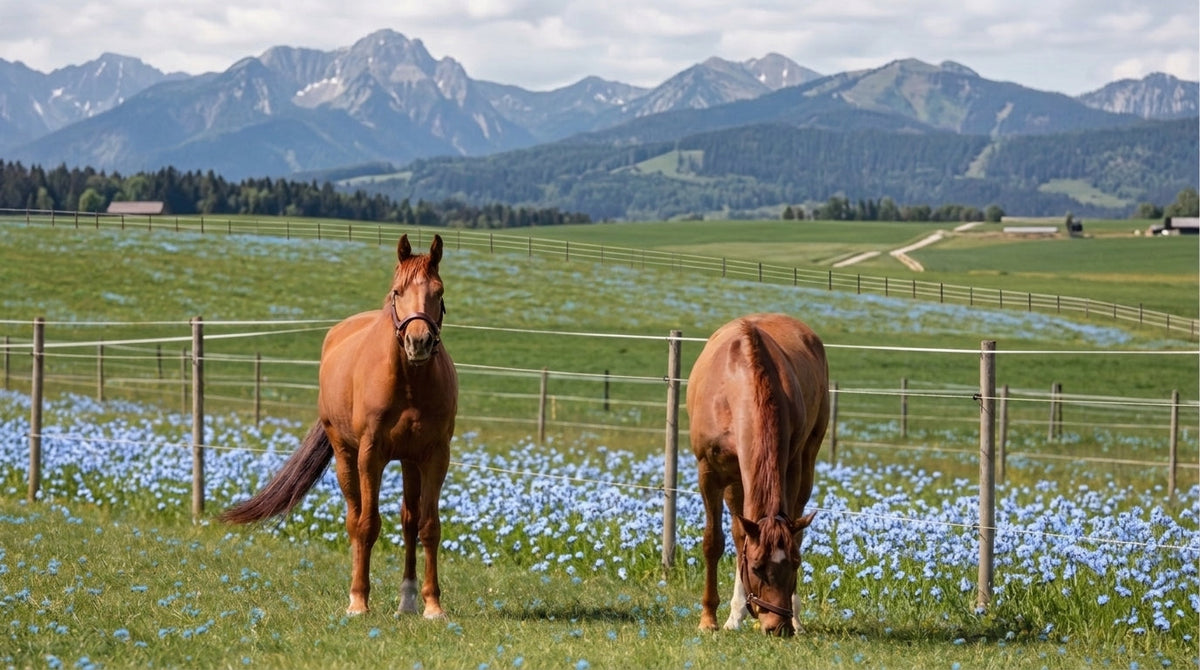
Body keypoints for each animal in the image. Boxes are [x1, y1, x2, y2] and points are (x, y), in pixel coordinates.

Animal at [221, 233, 458, 618]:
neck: (409, 383)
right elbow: (367, 524)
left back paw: (406, 600)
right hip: (346, 455)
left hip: (409, 461)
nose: (418, 342)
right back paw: (356, 594)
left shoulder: (435, 455)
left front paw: (432, 605)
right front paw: (359, 601)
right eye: (397, 291)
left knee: (409, 521)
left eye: (439, 291)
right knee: (354, 518)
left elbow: (429, 526)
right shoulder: (370, 455)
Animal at [686, 313, 829, 636]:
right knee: (739, 533)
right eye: (756, 567)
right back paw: (734, 616)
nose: (778, 627)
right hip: (736, 480)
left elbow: (792, 531)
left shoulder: (789, 466)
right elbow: (714, 542)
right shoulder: (709, 472)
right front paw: (708, 619)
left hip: (805, 461)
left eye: (796, 564)